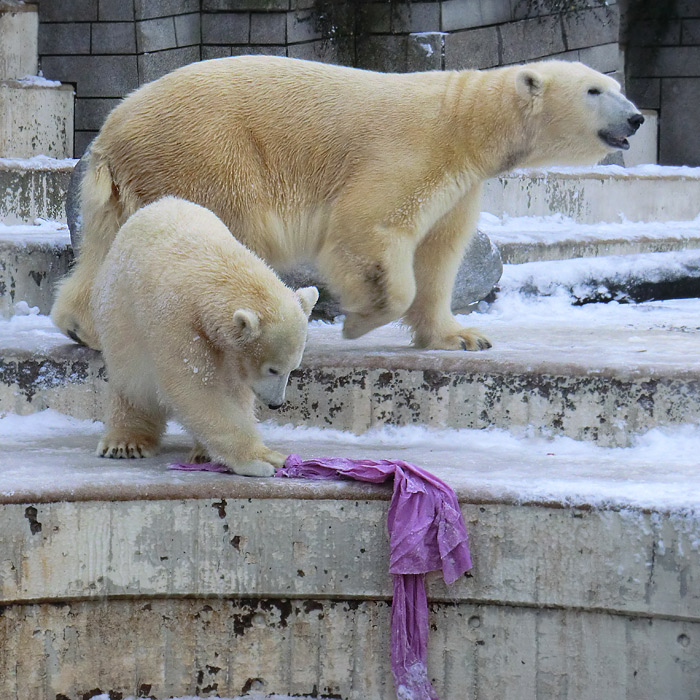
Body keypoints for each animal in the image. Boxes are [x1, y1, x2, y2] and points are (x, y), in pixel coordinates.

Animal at [52, 55, 644, 352]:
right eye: (594, 90)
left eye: (614, 84)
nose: (637, 117)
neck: (465, 121)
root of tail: (112, 132)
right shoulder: (412, 151)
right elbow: (369, 230)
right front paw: (359, 320)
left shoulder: (461, 183)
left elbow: (439, 253)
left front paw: (461, 336)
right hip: (206, 155)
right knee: (223, 231)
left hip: (133, 184)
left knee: (108, 247)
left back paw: (87, 329)